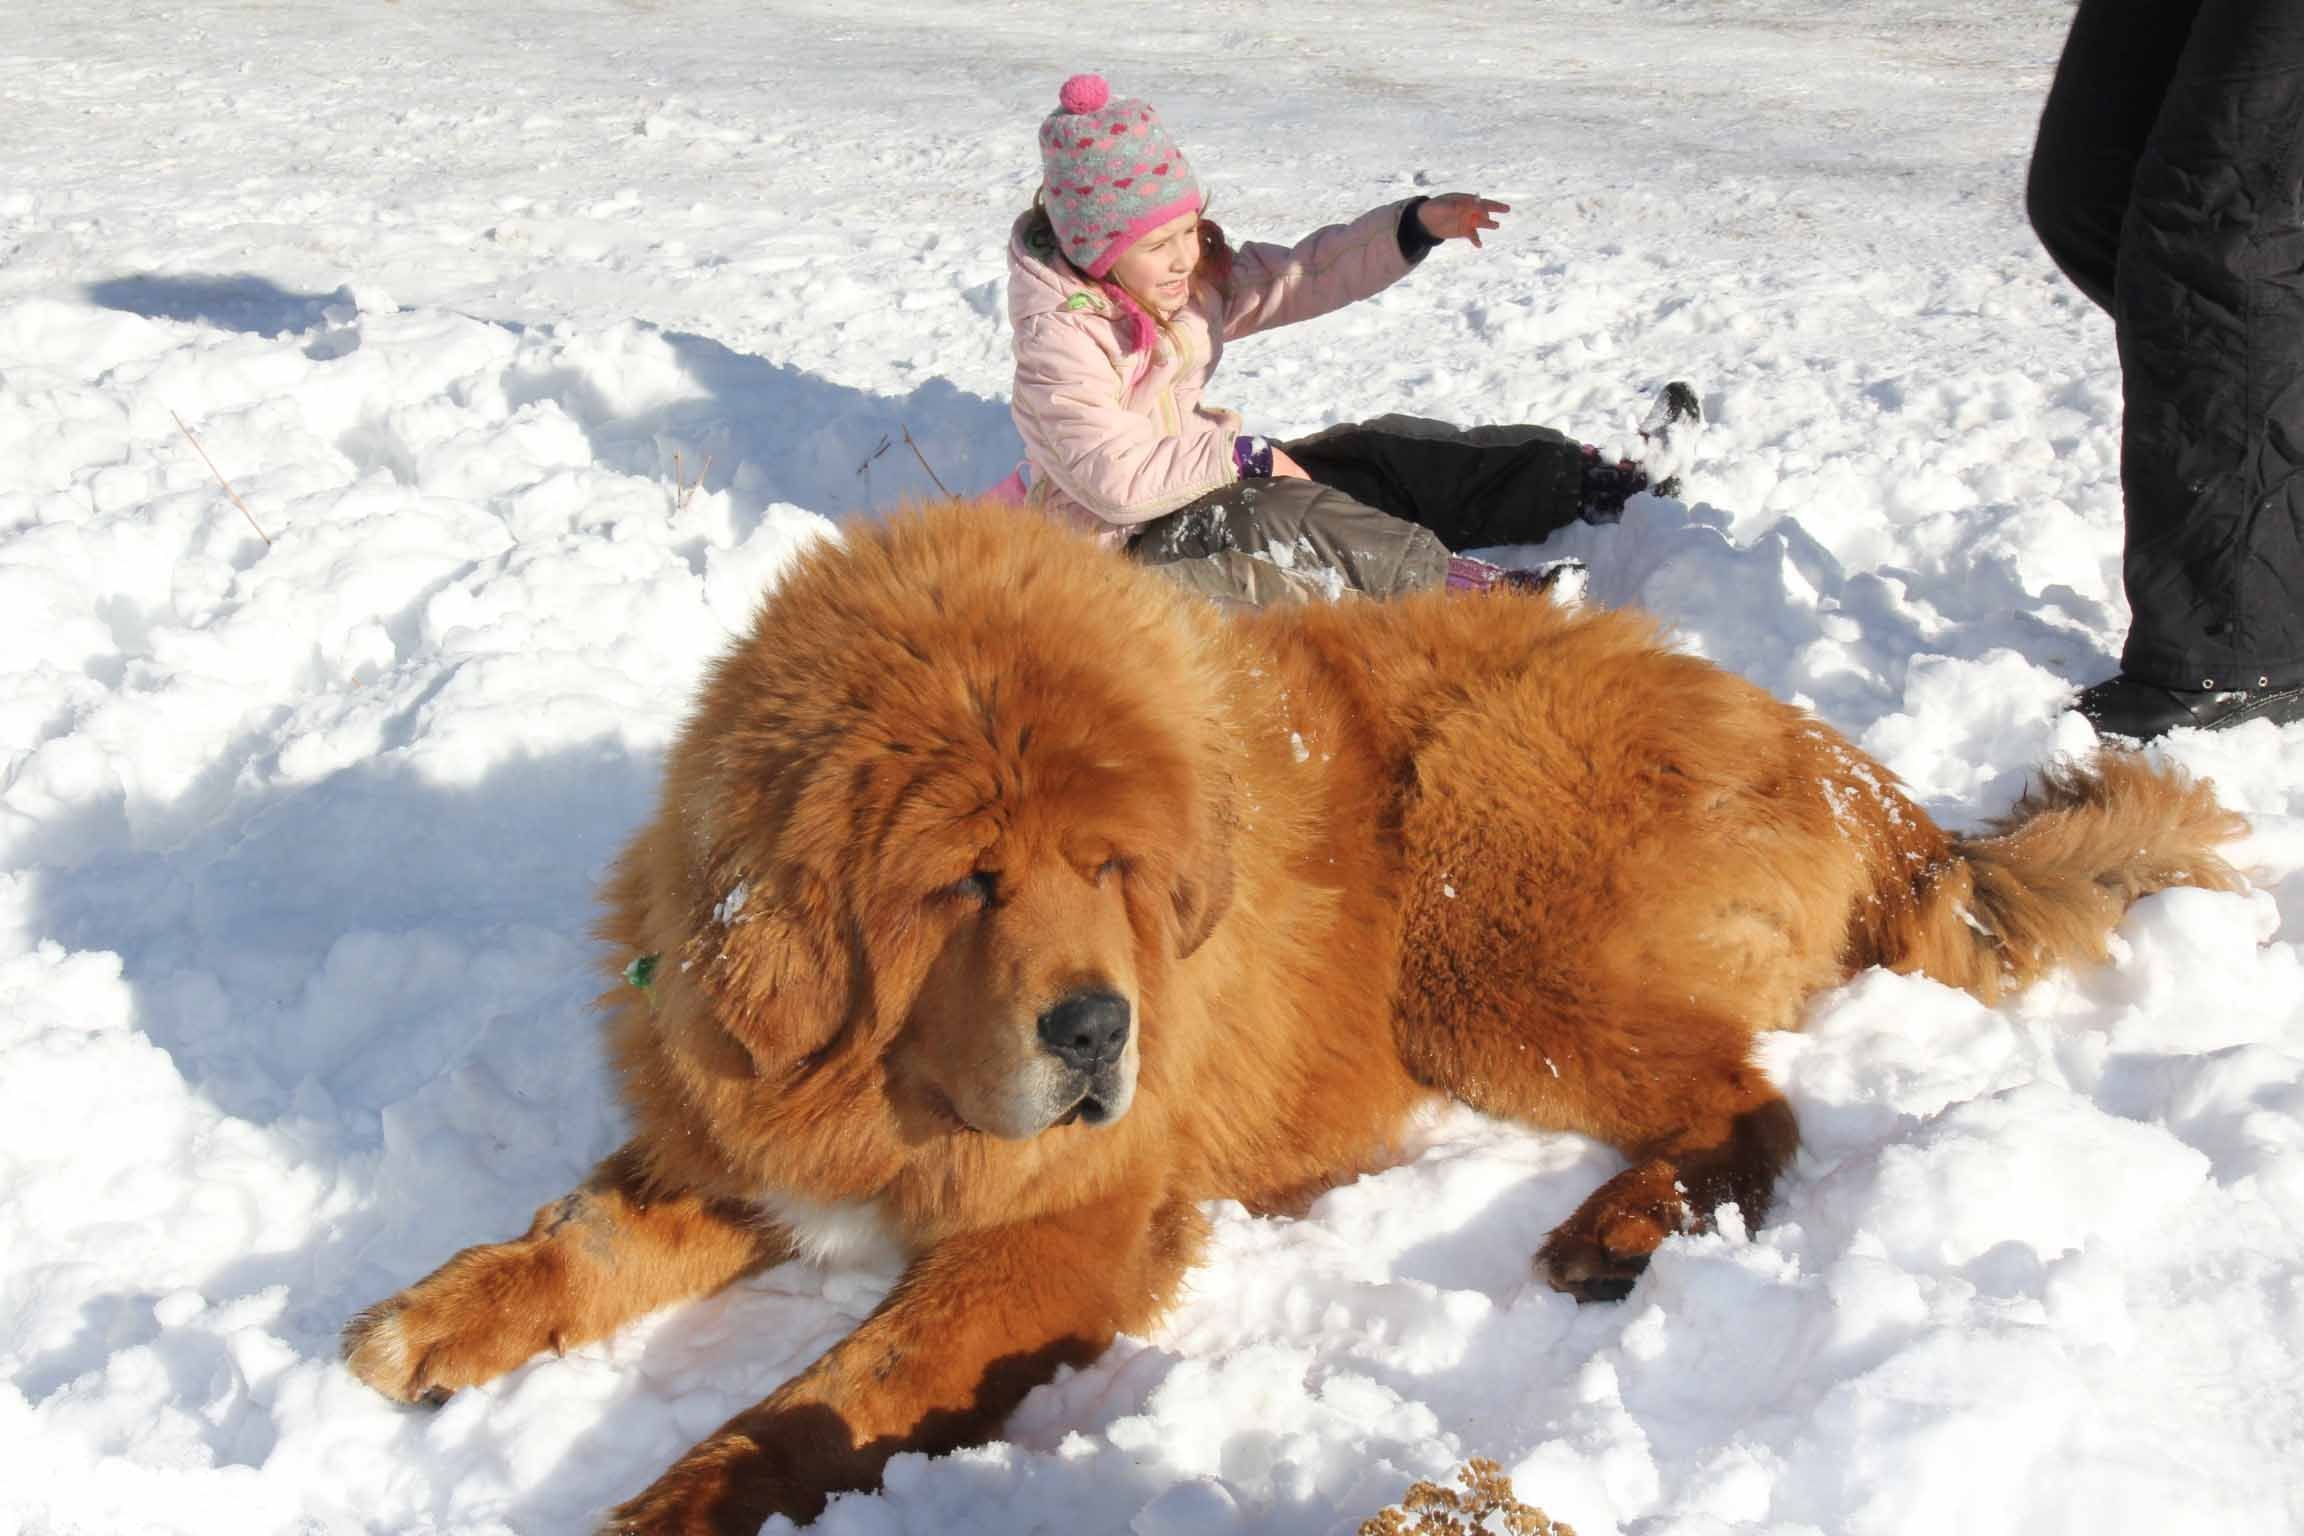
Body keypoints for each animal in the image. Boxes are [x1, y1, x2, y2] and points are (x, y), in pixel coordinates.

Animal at [340, 499, 2248, 1529]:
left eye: (1110, 864)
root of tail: (1857, 774)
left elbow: (831, 1393)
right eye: (963, 881)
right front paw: (436, 1320)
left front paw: (667, 1499)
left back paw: (1620, 1230)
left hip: (1481, 929)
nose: (1095, 1032)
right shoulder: (741, 1122)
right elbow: (585, 1235)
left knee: (1749, 1103)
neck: (890, 1088)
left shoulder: (1057, 1233)